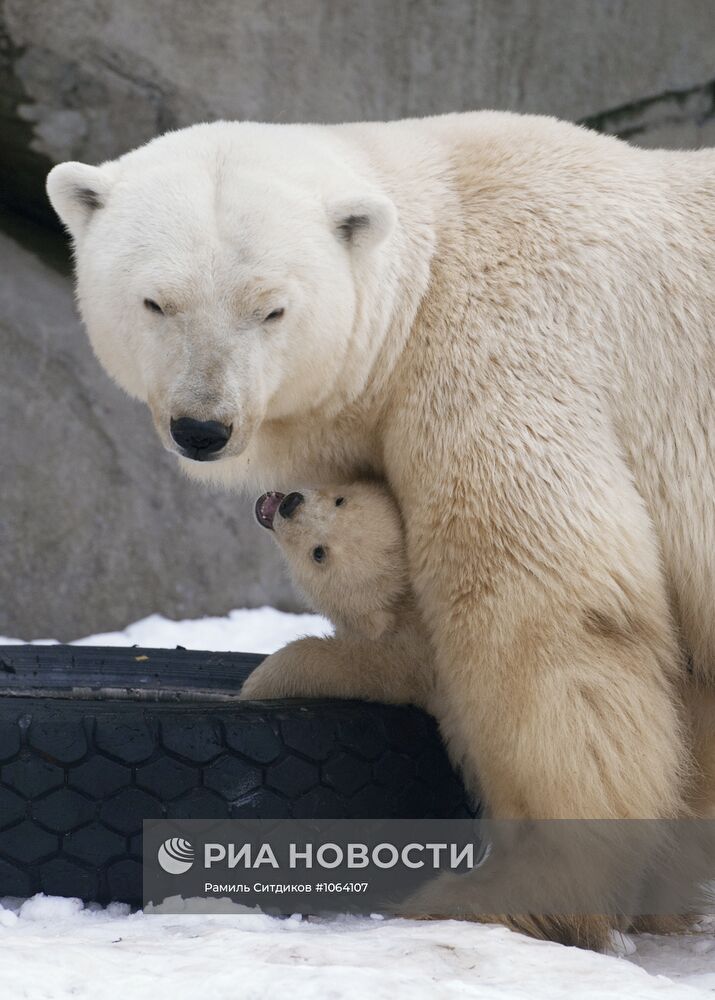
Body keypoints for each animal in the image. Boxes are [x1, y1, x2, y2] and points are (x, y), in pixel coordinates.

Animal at [47, 115, 712, 944]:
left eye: (272, 309)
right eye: (155, 303)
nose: (202, 426)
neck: (427, 272)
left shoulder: (503, 352)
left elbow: (536, 611)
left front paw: (511, 889)